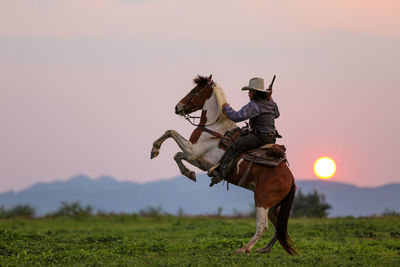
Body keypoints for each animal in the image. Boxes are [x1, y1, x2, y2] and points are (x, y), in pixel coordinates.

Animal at [151, 75, 296, 255]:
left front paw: (154, 150)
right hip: (273, 206)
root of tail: (291, 179)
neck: (214, 127)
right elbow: (177, 155)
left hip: (262, 200)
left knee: (263, 227)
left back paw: (244, 249)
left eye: (194, 91)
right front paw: (190, 174)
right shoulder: (198, 159)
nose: (177, 107)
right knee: (280, 227)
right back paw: (264, 248)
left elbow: (170, 132)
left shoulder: (192, 150)